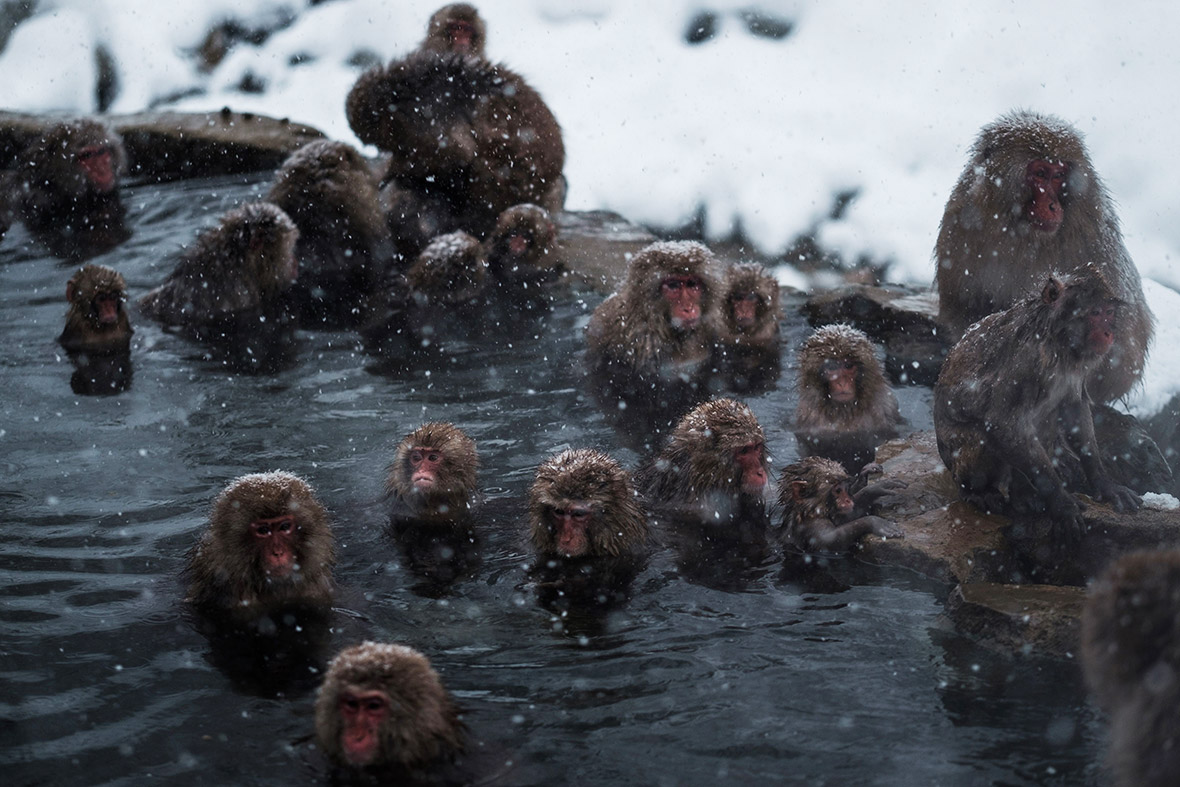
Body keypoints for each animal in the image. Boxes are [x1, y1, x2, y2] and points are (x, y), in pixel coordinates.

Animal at [793, 324, 903, 474]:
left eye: (848, 366)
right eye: (831, 367)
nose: (842, 383)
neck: (845, 411)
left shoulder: (886, 409)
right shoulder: (809, 418)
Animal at [933, 110, 1154, 404]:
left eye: (1059, 175)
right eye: (1039, 173)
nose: (1051, 205)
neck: (1022, 232)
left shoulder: (1092, 233)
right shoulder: (961, 222)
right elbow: (968, 308)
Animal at [933, 265, 1142, 542]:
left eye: (1108, 313)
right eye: (1095, 313)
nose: (1109, 333)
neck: (1056, 342)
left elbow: (1073, 409)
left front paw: (1103, 483)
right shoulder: (1023, 364)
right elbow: (1001, 423)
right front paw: (1062, 504)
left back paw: (1024, 494)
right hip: (957, 460)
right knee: (981, 440)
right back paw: (980, 493)